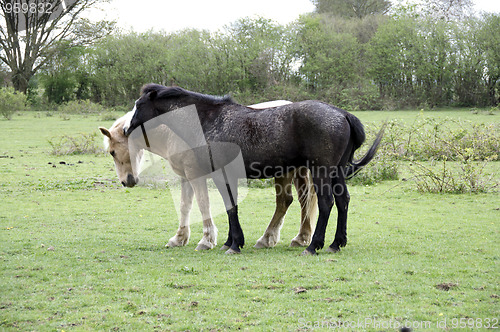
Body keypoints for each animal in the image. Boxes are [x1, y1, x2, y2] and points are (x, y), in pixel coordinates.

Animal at [125, 84, 382, 255]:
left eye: (139, 105)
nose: (127, 129)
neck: (210, 120)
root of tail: (343, 114)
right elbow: (230, 205)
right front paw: (229, 242)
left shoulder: (223, 174)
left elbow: (231, 207)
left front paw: (234, 244)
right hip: (336, 172)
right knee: (343, 200)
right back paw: (335, 244)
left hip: (321, 171)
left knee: (326, 202)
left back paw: (313, 245)